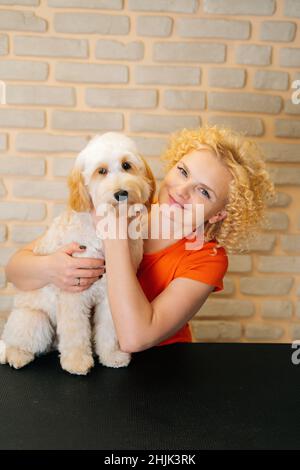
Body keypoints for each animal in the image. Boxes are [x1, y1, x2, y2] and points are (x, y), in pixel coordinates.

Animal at [0, 131, 155, 374]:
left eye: (126, 165)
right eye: (101, 171)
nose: (121, 193)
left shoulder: (111, 296)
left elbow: (109, 330)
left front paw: (112, 356)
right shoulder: (73, 294)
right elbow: (75, 333)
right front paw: (76, 361)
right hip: (34, 319)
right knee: (16, 343)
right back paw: (18, 355)